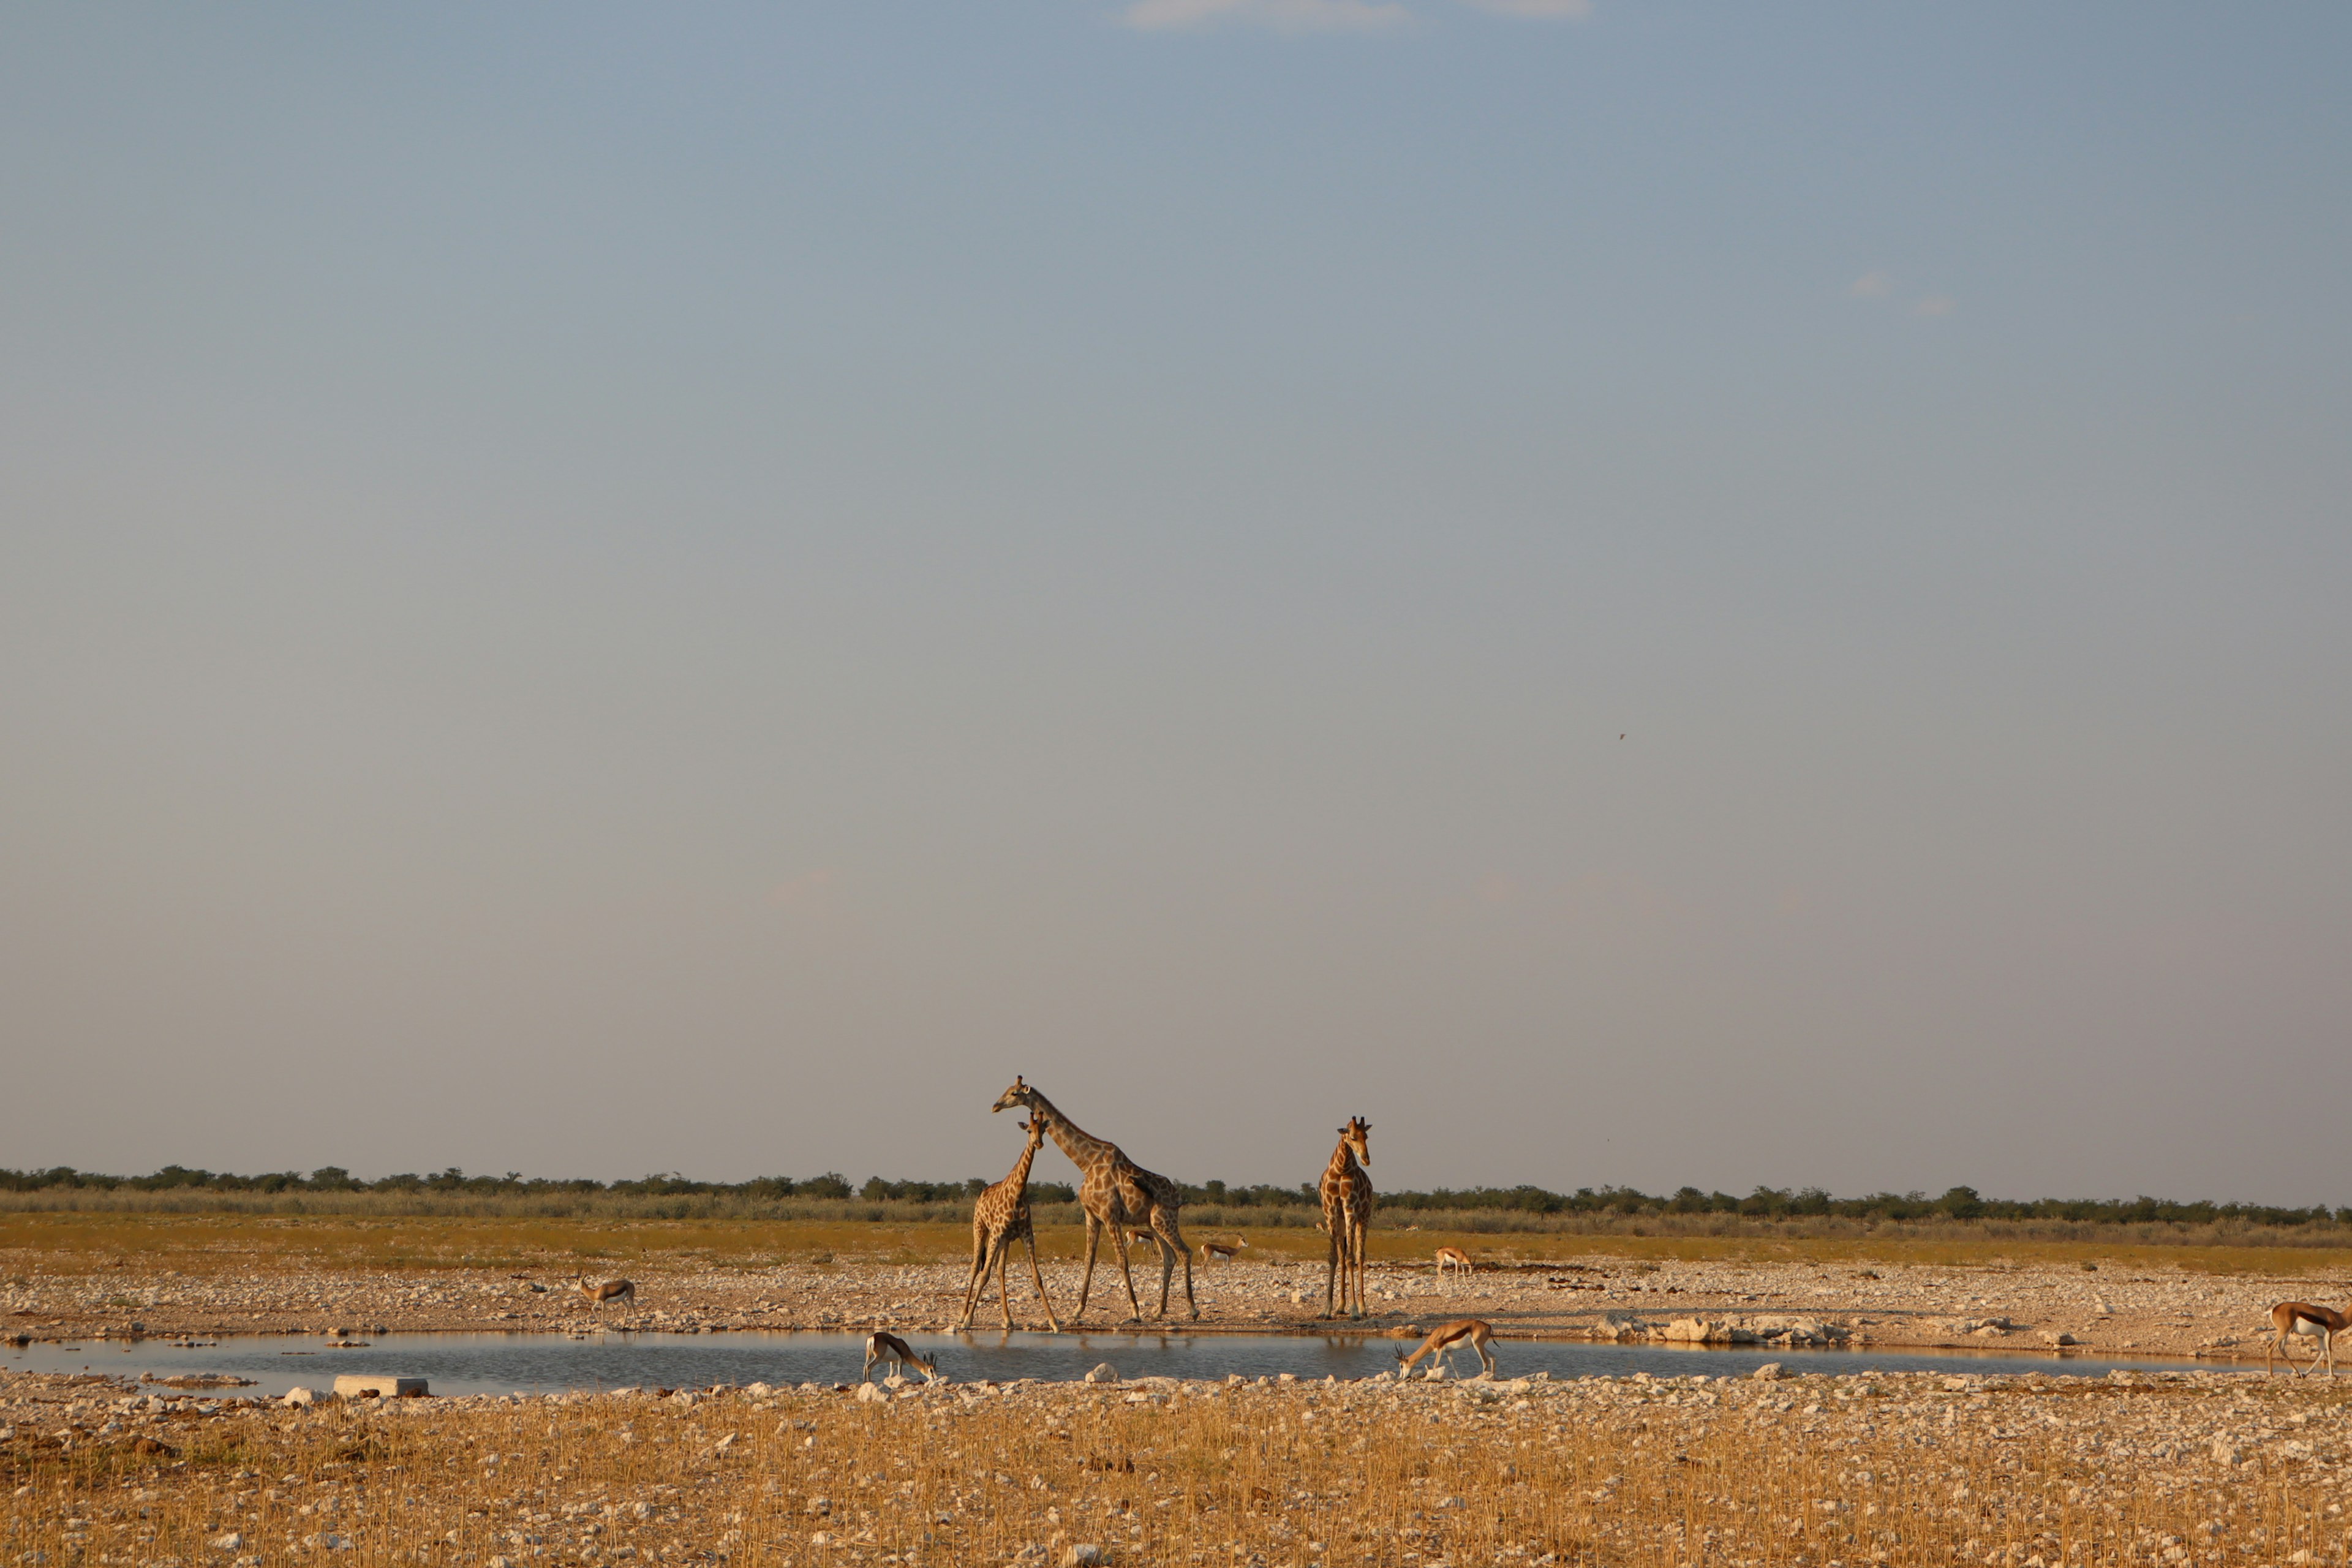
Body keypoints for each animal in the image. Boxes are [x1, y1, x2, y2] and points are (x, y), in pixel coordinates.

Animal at [955, 1114, 1068, 1335]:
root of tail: (981, 1194)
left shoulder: (1026, 1234)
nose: (1038, 1143)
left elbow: (1037, 1276)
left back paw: (1007, 1319)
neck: (1018, 1192)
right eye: (1029, 1131)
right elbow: (984, 1274)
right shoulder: (997, 1233)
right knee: (976, 1266)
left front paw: (1054, 1322)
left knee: (1000, 1270)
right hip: (981, 1229)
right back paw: (963, 1314)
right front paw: (968, 1321)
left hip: (1005, 1240)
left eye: (1043, 1130)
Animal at [992, 1081, 1194, 1325]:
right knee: (1169, 1258)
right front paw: (1077, 1311)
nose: (995, 1106)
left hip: (1165, 1219)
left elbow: (1122, 1260)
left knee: (1185, 1253)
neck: (1086, 1163)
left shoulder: (1110, 1215)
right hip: (1153, 1224)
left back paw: (1193, 1309)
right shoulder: (1092, 1216)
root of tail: (1178, 1198)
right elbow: (1089, 1261)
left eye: (1014, 1093)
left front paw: (1134, 1312)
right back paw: (1159, 1312)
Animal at [1317, 1114, 1373, 1325]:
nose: (1366, 1159)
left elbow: (1351, 1258)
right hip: (1341, 1221)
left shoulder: (1351, 1209)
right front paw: (1327, 1309)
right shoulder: (1332, 1211)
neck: (1341, 1169)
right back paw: (1341, 1306)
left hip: (1364, 1217)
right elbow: (1334, 1257)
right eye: (1353, 1137)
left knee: (1359, 1255)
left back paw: (1363, 1308)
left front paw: (1355, 1310)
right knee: (1343, 1254)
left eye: (1367, 1136)